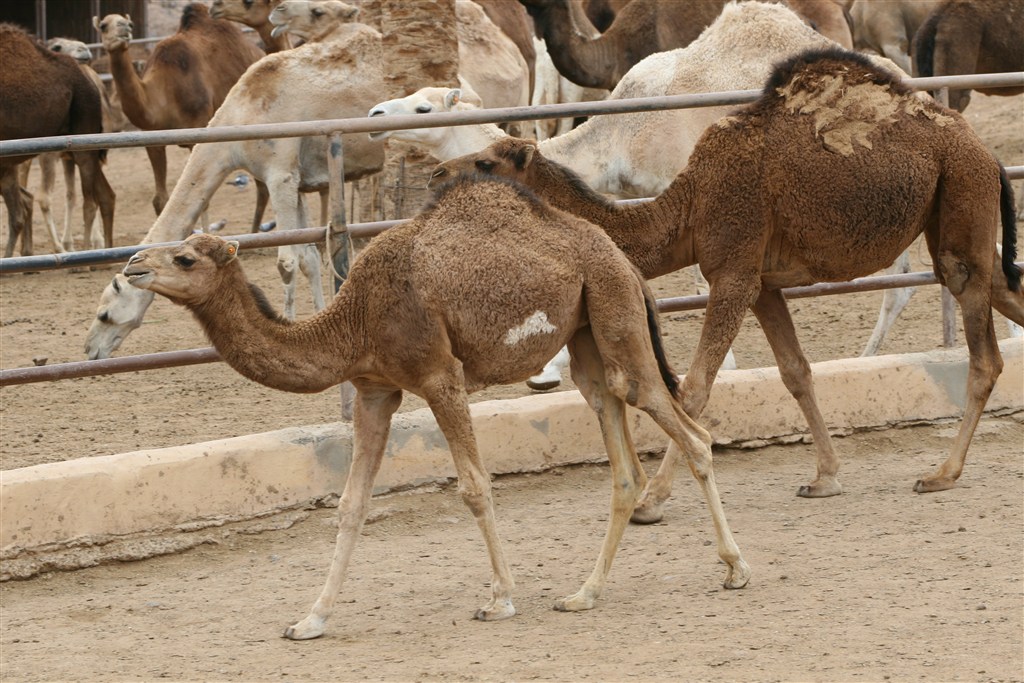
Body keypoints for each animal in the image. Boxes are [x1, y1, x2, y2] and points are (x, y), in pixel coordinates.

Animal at [0, 23, 115, 258]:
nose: (84, 50)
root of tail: (92, 82)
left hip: (83, 135)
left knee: (89, 202)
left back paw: (85, 258)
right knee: (104, 195)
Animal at [93, 4, 266, 219]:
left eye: (130, 23)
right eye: (103, 25)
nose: (125, 29)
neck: (165, 90)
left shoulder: (197, 131)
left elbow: (199, 200)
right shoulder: (152, 139)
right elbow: (160, 200)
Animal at [120, 177, 751, 640]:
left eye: (184, 258)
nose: (132, 264)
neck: (355, 320)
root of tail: (621, 258)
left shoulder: (439, 376)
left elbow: (473, 485)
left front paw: (500, 600)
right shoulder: (375, 389)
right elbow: (351, 504)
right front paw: (310, 620)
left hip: (613, 310)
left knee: (687, 431)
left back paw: (736, 569)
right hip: (587, 335)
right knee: (619, 449)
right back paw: (584, 594)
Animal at [432, 48, 1024, 518]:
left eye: (486, 162)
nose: (437, 175)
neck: (688, 210)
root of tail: (986, 151)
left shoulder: (733, 273)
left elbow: (694, 388)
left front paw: (651, 501)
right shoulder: (761, 283)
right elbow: (795, 372)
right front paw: (826, 477)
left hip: (960, 204)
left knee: (982, 354)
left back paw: (943, 472)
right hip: (957, 219)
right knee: (1006, 291)